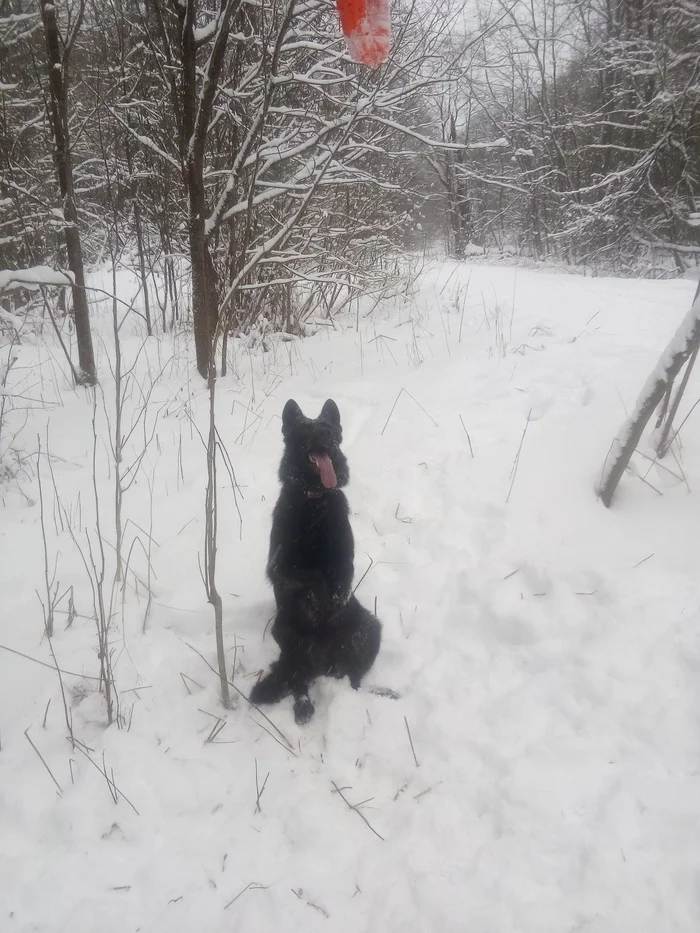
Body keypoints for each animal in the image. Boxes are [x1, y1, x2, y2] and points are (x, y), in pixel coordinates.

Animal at [250, 396, 382, 724]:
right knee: (298, 677)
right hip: (288, 633)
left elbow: (336, 586)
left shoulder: (344, 566)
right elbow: (310, 580)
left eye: (327, 427)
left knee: (354, 677)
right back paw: (303, 705)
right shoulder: (280, 569)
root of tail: (325, 663)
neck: (315, 500)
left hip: (368, 628)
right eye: (306, 430)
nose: (326, 435)